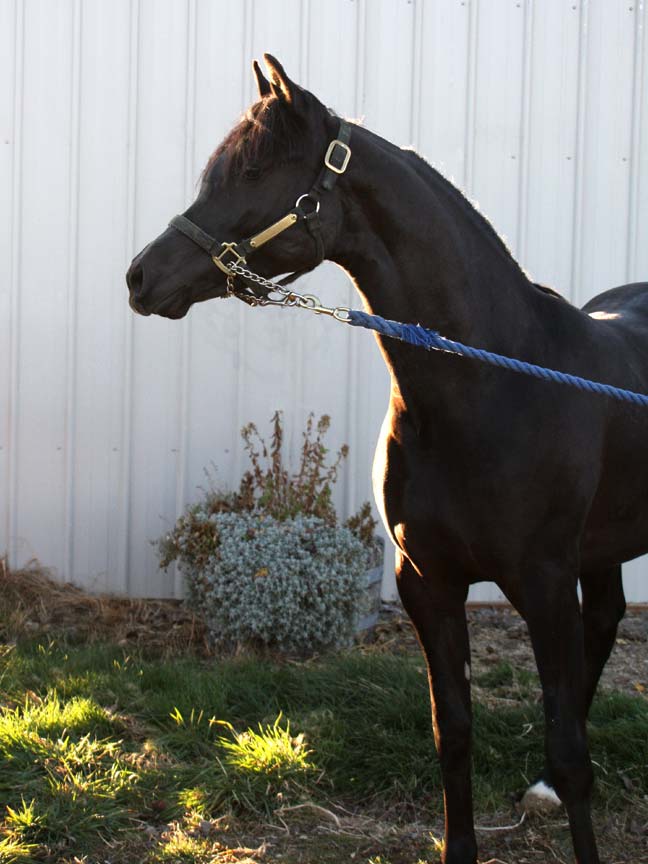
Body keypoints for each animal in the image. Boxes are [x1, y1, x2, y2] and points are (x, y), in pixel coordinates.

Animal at [127, 55, 648, 864]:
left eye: (253, 174)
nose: (141, 277)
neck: (493, 384)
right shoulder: (426, 582)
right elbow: (453, 732)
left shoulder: (543, 585)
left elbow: (570, 752)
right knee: (607, 620)